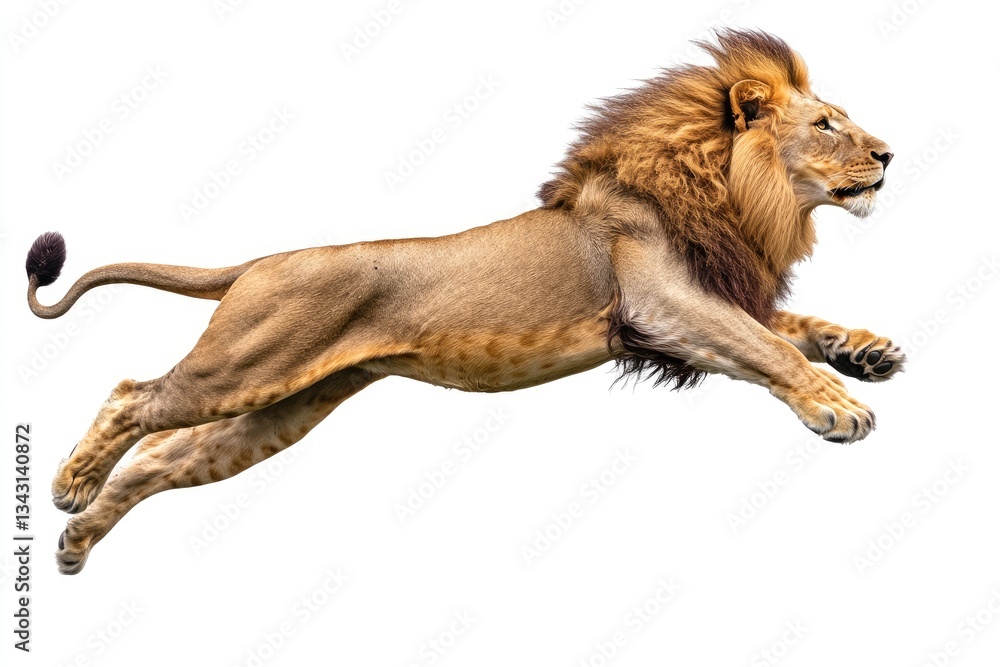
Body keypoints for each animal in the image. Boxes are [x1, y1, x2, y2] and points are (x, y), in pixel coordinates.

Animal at [26, 30, 904, 574]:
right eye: (828, 124)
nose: (891, 154)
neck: (737, 194)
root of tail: (263, 260)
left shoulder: (702, 300)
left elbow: (798, 326)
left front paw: (867, 351)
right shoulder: (662, 305)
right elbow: (772, 347)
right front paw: (838, 407)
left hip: (282, 405)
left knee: (162, 456)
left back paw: (74, 541)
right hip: (246, 362)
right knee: (132, 394)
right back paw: (70, 487)